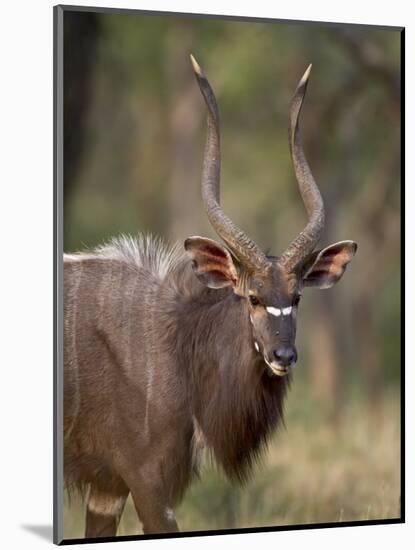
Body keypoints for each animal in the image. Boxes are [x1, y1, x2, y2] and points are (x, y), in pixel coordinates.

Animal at [64, 56, 358, 540]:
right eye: (252, 297)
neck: (175, 343)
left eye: (296, 296)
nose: (283, 355)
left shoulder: (108, 488)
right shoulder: (148, 482)